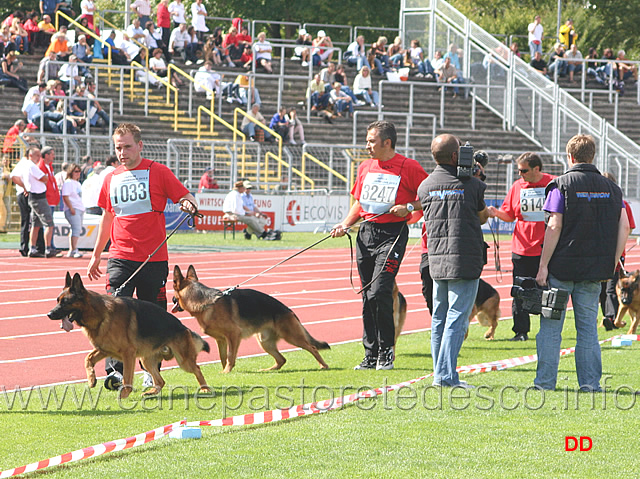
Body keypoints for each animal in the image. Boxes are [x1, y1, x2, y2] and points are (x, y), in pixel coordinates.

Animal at [48, 272, 212, 400]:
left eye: (66, 302)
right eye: (57, 301)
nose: (49, 314)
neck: (99, 313)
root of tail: (183, 327)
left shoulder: (128, 354)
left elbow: (127, 377)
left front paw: (124, 395)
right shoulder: (104, 350)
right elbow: (87, 358)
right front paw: (91, 380)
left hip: (183, 361)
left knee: (197, 369)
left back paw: (205, 388)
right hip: (146, 360)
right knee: (160, 381)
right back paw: (151, 392)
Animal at [172, 264, 330, 374]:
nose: (172, 299)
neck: (207, 302)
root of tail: (288, 310)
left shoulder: (234, 335)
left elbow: (230, 356)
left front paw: (227, 371)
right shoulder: (221, 340)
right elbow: (223, 357)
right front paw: (224, 371)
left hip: (291, 336)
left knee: (312, 348)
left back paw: (323, 365)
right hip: (265, 342)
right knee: (282, 359)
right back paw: (268, 370)